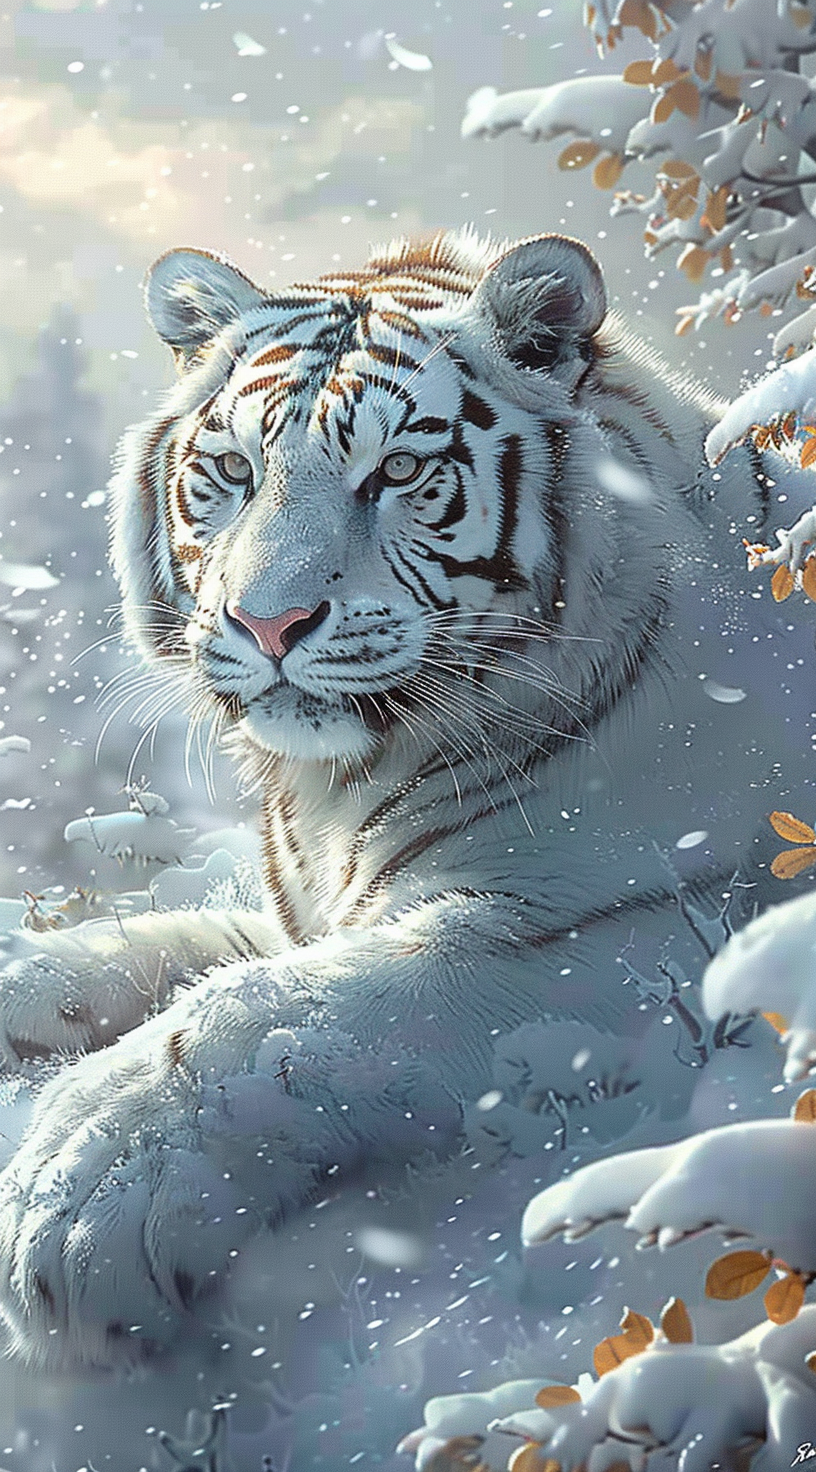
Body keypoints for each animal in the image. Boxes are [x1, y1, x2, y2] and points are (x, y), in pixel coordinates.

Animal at [0, 227, 812, 1385]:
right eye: (232, 471)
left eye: (397, 470)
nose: (268, 621)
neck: (340, 788)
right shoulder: (310, 903)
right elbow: (177, 944)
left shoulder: (642, 929)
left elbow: (266, 1015)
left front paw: (80, 1198)